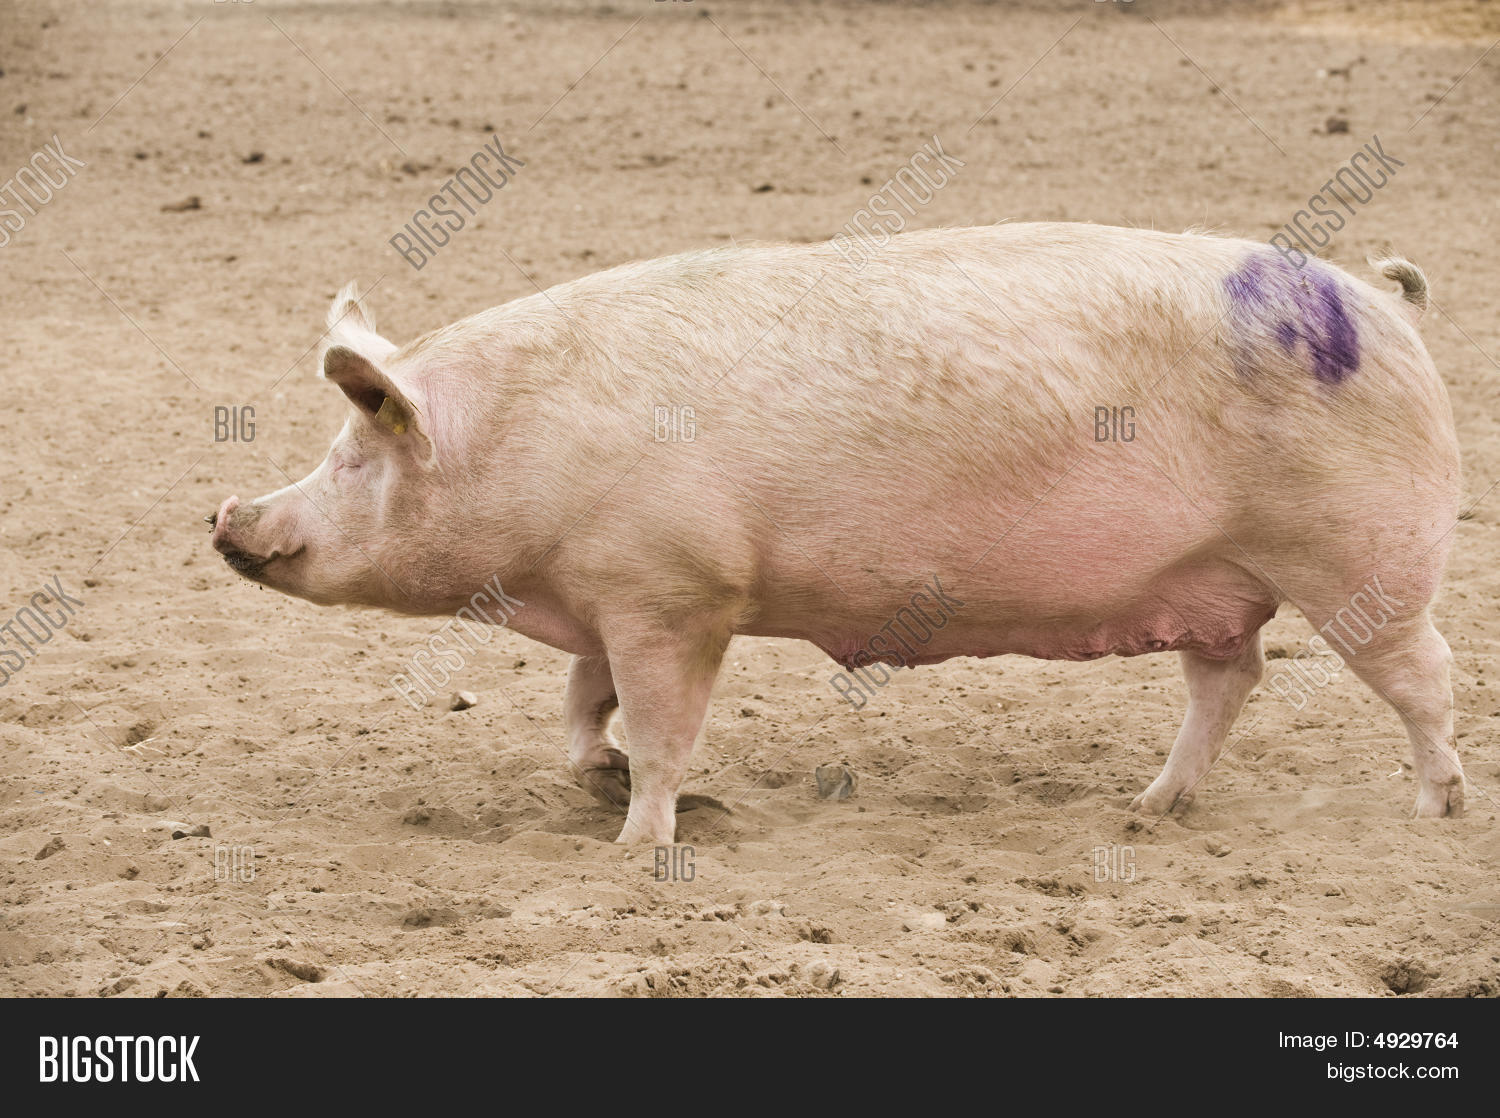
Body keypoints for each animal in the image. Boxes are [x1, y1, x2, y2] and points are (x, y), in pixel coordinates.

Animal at [210, 222, 1466, 844]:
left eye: (354, 453)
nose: (224, 512)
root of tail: (1388, 305)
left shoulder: (679, 591)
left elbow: (660, 725)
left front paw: (641, 844)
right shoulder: (613, 593)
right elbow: (582, 705)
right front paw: (601, 786)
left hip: (1362, 557)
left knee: (1426, 675)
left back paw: (1433, 811)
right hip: (1220, 579)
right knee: (1232, 675)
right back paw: (1148, 809)